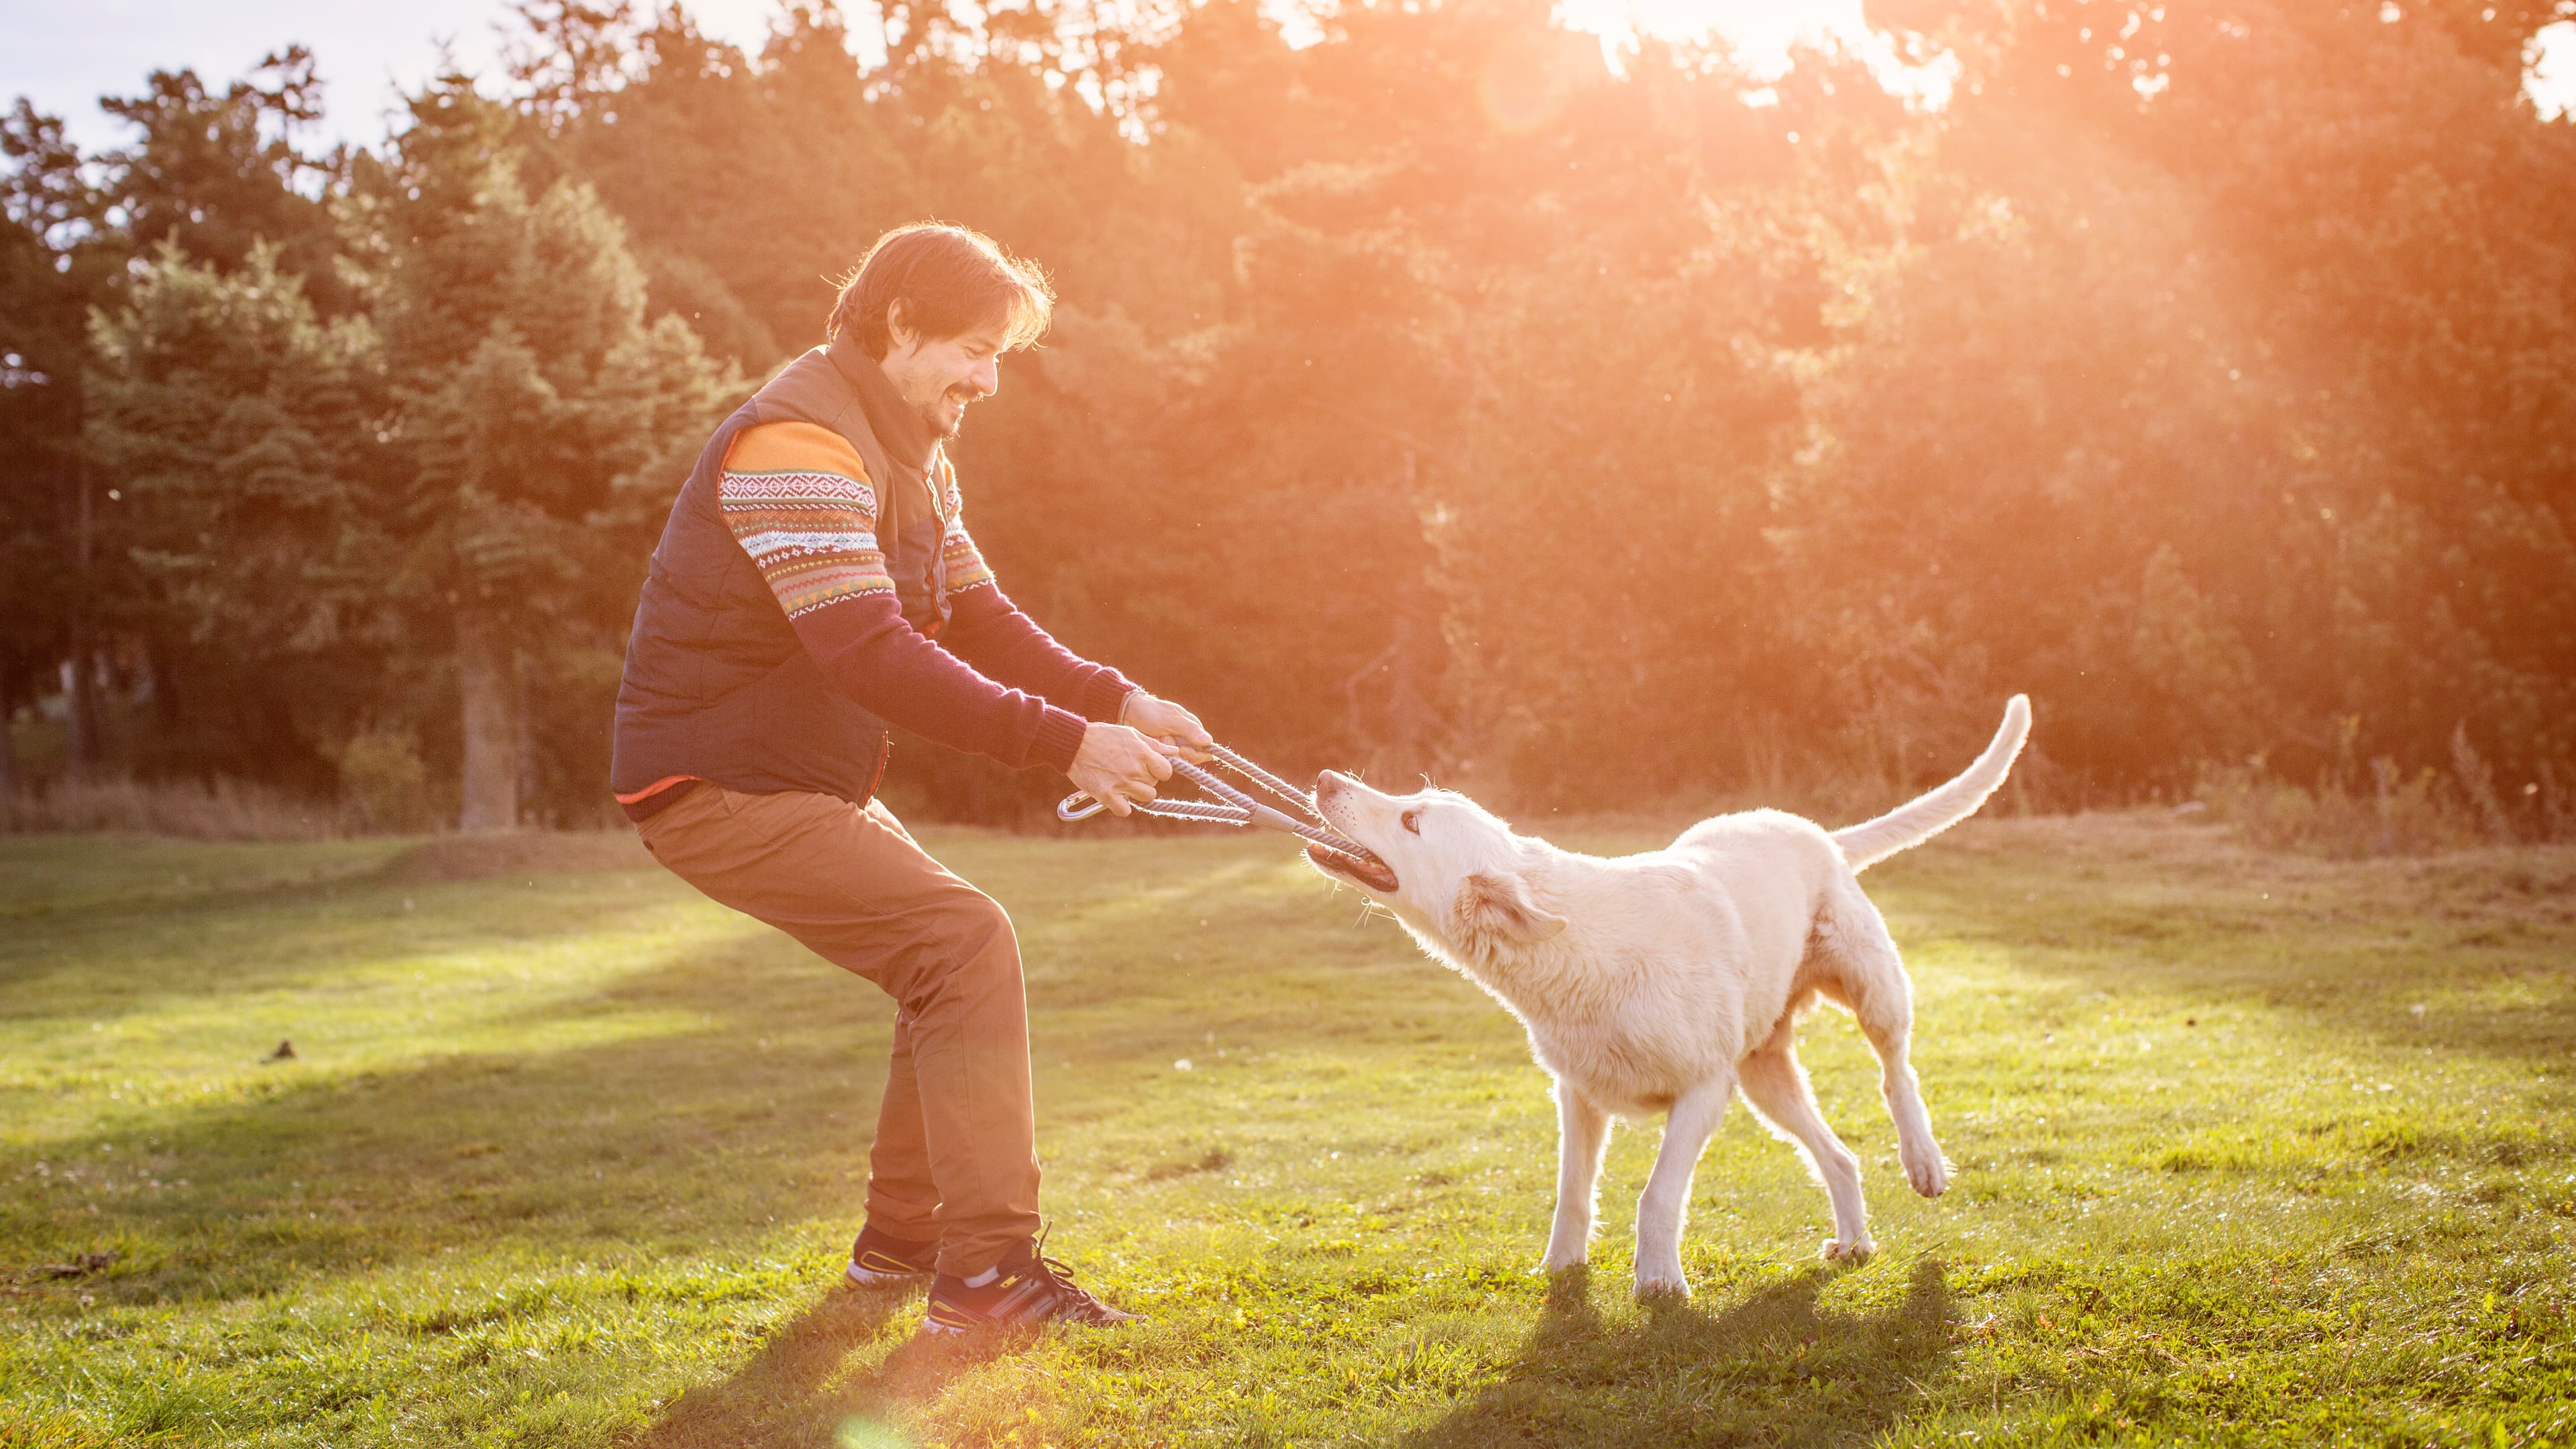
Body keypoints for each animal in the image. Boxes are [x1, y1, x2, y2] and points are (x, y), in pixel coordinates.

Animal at [1308, 696, 2029, 1289]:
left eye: (1411, 820)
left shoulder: (1703, 1092)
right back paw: (1854, 1242)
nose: (1324, 779)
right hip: (1764, 1077)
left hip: (1870, 988)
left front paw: (1657, 1283)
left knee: (1895, 1071)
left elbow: (1656, 1196)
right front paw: (1561, 1269)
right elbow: (1573, 1193)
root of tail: (1814, 831)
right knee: (1841, 1156)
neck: (1578, 950)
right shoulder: (1578, 1097)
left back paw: (1923, 1162)